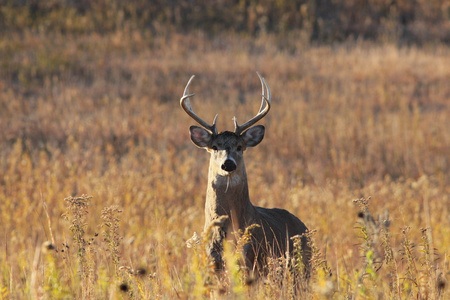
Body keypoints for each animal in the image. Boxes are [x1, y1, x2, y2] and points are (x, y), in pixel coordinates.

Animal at [181, 72, 308, 274]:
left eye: (239, 147)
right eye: (214, 147)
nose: (228, 164)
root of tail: (303, 226)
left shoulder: (252, 259)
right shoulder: (212, 262)